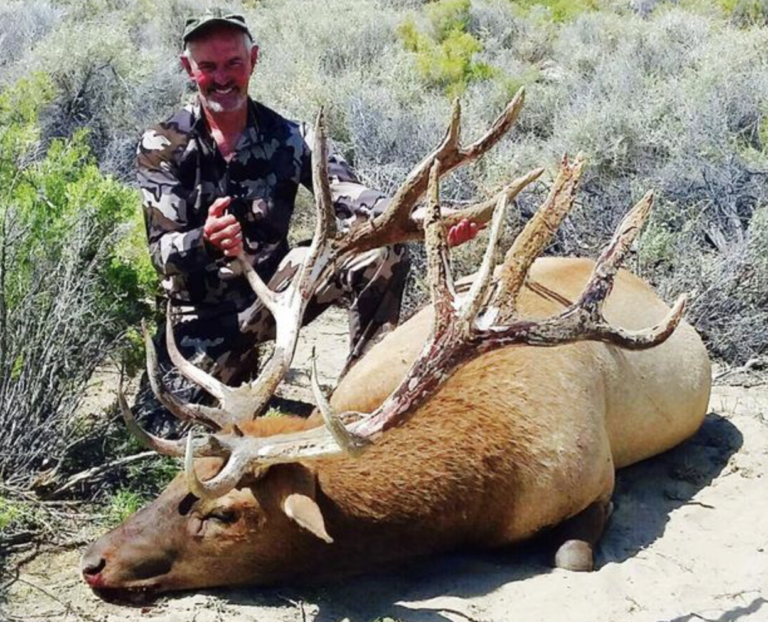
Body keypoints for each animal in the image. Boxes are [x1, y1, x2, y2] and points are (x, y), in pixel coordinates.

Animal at [80, 91, 711, 600]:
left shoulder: (597, 479)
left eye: (225, 515)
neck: (486, 494)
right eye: (168, 486)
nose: (94, 560)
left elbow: (572, 555)